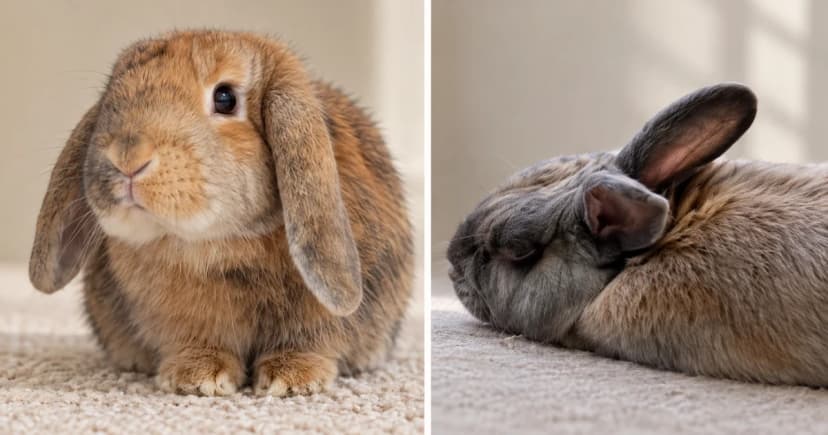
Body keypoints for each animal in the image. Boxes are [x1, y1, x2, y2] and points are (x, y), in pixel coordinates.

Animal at [28, 30, 413, 397]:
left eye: (225, 98)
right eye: (112, 97)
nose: (127, 156)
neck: (215, 244)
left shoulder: (318, 317)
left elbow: (312, 339)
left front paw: (291, 379)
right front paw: (199, 377)